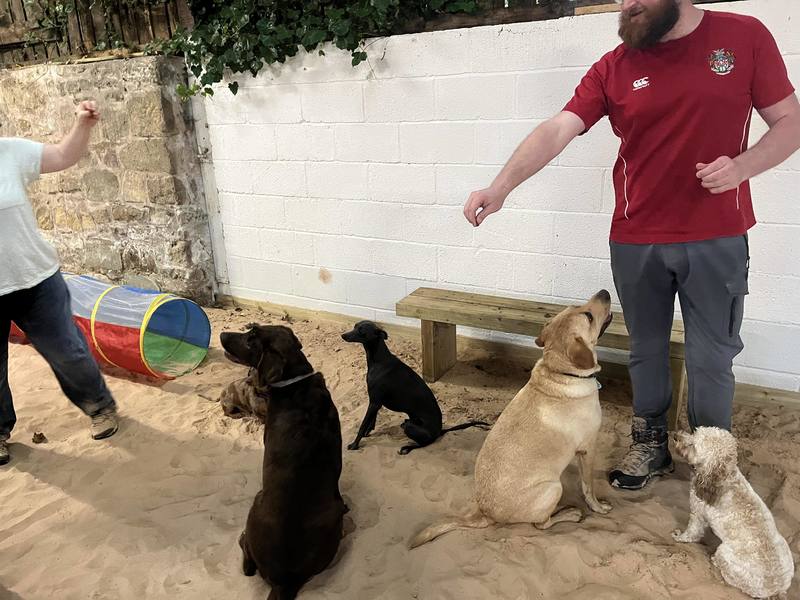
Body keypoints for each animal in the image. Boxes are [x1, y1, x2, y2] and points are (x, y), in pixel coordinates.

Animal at [221, 324, 348, 600]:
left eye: (251, 338)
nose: (222, 334)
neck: (294, 382)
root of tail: (285, 581)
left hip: (256, 502)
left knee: (247, 563)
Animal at [341, 320, 490, 455]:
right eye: (355, 326)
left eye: (361, 331)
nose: (343, 335)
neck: (379, 360)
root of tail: (439, 430)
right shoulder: (375, 401)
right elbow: (372, 420)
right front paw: (368, 432)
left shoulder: (374, 402)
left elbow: (362, 425)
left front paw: (354, 444)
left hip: (412, 428)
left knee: (425, 443)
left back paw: (407, 448)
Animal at [410, 290, 614, 547]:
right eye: (588, 316)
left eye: (575, 307)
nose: (605, 292)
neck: (560, 372)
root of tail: (484, 513)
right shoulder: (588, 448)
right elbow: (589, 487)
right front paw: (598, 507)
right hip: (553, 487)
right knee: (542, 524)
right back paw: (569, 513)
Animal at [672, 427, 794, 599]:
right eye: (694, 432)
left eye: (693, 445)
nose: (675, 436)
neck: (724, 476)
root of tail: (777, 589)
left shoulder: (697, 514)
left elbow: (691, 532)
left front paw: (680, 538)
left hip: (724, 553)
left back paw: (715, 561)